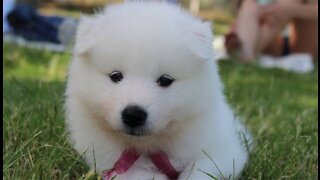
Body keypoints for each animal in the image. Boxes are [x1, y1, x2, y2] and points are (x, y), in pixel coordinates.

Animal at [64, 1, 250, 180]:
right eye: (115, 76)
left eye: (165, 80)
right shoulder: (110, 162)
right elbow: (140, 175)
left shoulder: (222, 153)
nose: (133, 115)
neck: (150, 145)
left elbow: (200, 170)